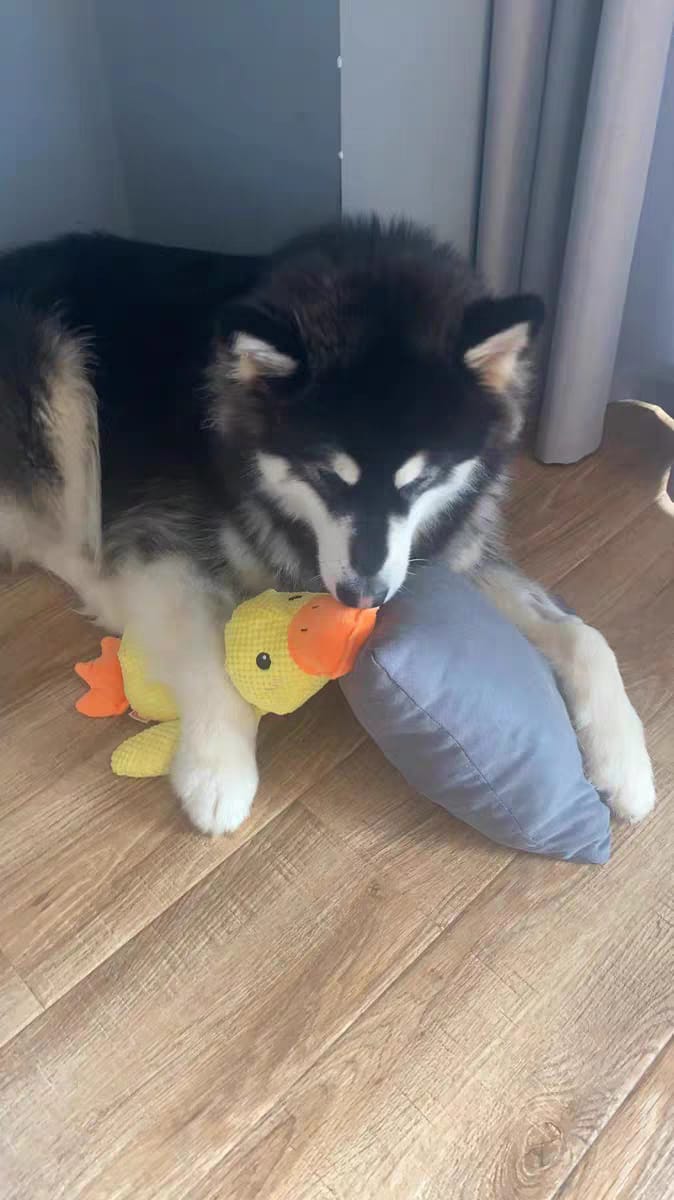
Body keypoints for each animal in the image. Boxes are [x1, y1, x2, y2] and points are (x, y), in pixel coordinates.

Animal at [0, 218, 652, 835]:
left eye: (421, 480)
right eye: (325, 476)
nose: (364, 596)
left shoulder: (448, 556)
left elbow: (585, 636)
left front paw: (626, 761)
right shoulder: (160, 545)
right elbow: (212, 653)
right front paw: (217, 772)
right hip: (57, 366)